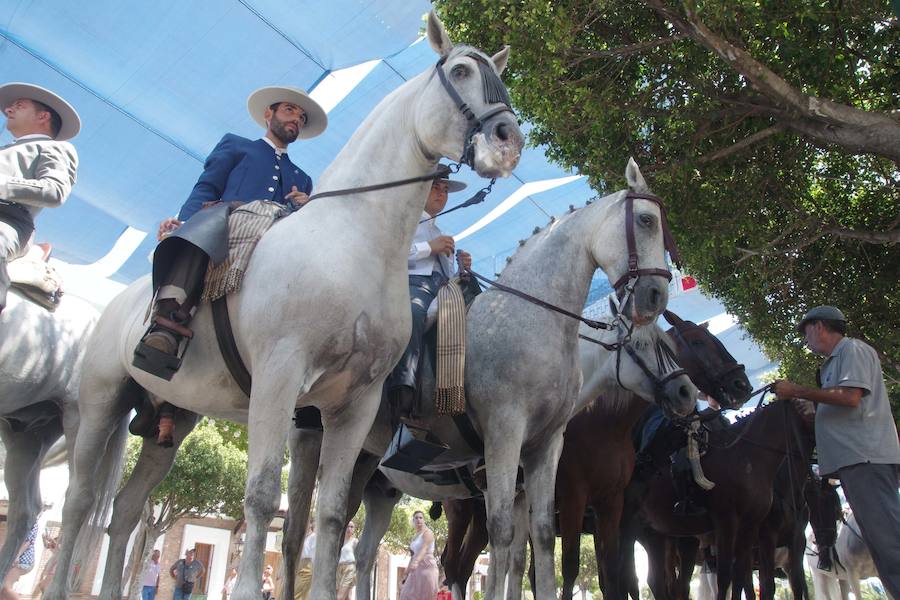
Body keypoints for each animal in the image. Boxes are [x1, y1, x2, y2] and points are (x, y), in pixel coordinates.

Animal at [282, 161, 696, 600]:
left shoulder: (544, 450)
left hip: (370, 475)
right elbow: (502, 539)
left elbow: (537, 543)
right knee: (295, 531)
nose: (655, 296)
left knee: (355, 545)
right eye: (647, 220)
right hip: (310, 441)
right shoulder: (503, 440)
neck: (532, 322)